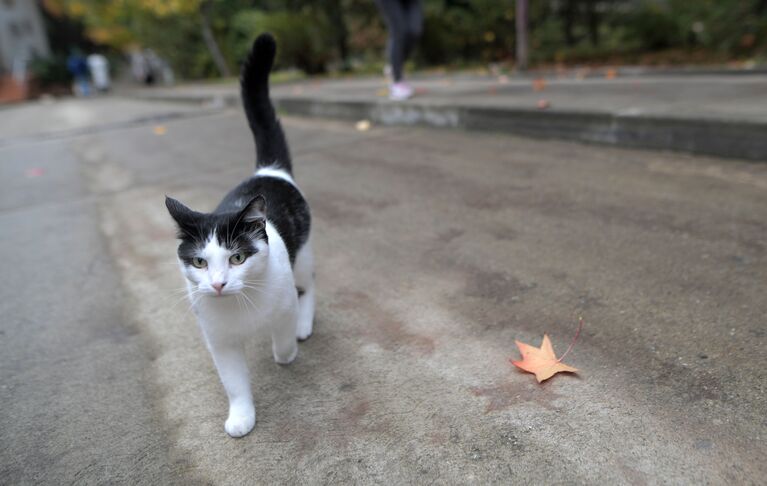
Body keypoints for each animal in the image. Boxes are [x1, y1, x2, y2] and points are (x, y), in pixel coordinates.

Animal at [166, 33, 314, 436]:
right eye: (199, 262)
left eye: (237, 257)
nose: (218, 284)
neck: (239, 306)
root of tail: (268, 171)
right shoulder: (219, 341)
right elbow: (234, 382)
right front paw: (241, 416)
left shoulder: (282, 304)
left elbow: (282, 336)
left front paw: (286, 352)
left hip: (303, 255)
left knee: (309, 287)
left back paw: (305, 325)